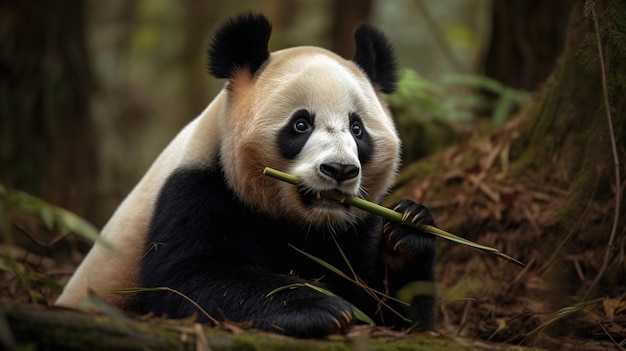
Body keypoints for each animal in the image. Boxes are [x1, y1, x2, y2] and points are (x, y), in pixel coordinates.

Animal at [56, 12, 436, 340]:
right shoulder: (197, 187)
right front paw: (318, 306)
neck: (303, 222)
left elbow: (386, 311)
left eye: (357, 129)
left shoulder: (353, 223)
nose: (339, 170)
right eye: (301, 124)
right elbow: (188, 279)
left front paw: (408, 229)